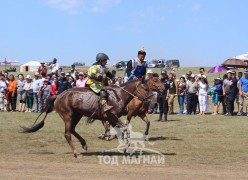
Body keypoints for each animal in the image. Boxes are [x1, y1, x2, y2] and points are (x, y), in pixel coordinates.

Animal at [21, 80, 151, 158]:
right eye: (145, 88)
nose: (150, 100)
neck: (118, 96)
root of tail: (58, 95)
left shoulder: (112, 119)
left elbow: (120, 131)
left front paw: (123, 146)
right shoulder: (111, 117)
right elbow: (124, 129)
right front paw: (125, 147)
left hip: (77, 115)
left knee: (72, 130)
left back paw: (84, 144)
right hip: (68, 116)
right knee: (67, 134)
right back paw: (77, 153)